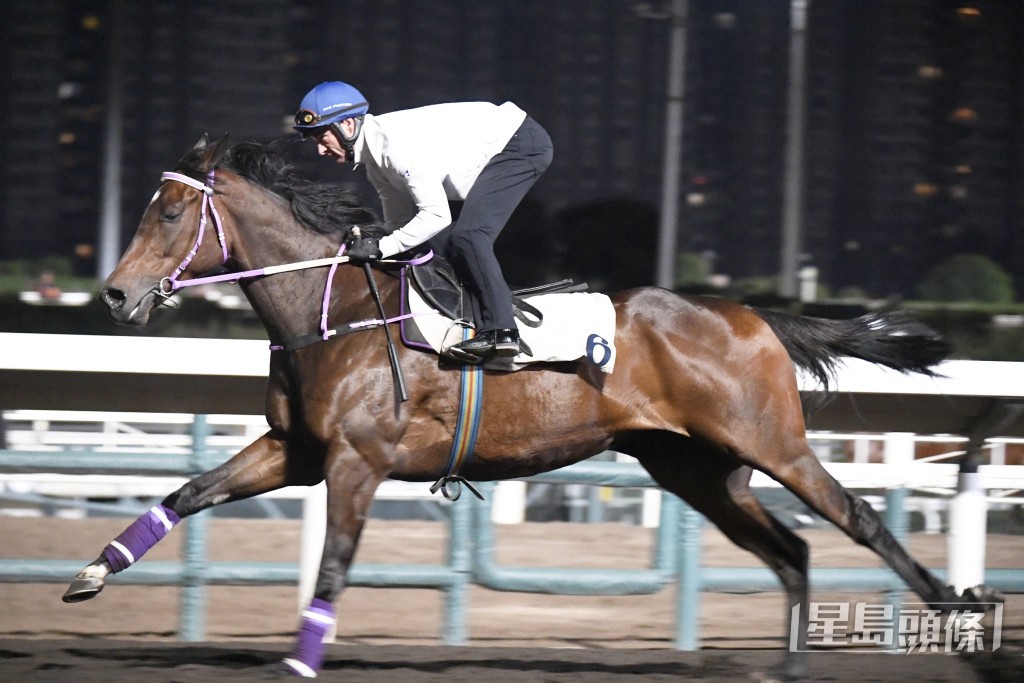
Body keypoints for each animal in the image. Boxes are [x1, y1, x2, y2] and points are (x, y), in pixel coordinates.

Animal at [63, 135, 994, 678]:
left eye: (171, 211)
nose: (113, 294)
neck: (336, 313)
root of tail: (755, 313)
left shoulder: (357, 462)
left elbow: (331, 568)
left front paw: (299, 664)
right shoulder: (294, 450)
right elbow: (187, 493)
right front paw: (91, 572)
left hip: (773, 442)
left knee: (858, 522)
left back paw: (960, 617)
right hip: (697, 467)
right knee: (792, 550)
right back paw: (797, 663)